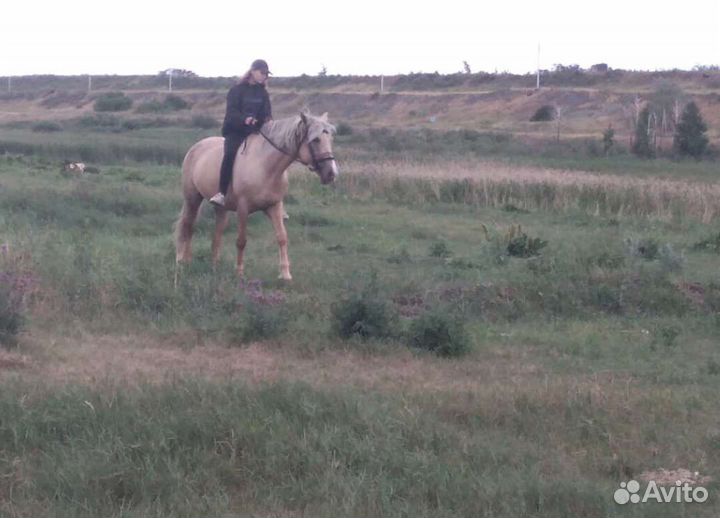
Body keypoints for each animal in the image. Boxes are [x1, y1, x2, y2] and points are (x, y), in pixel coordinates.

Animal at [174, 111, 338, 281]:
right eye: (316, 140)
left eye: (330, 139)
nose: (331, 174)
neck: (266, 166)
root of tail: (196, 146)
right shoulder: (243, 208)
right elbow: (241, 240)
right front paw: (239, 272)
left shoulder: (274, 206)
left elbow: (282, 237)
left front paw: (285, 274)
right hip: (192, 198)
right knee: (188, 225)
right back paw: (183, 261)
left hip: (221, 208)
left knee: (216, 232)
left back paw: (214, 265)